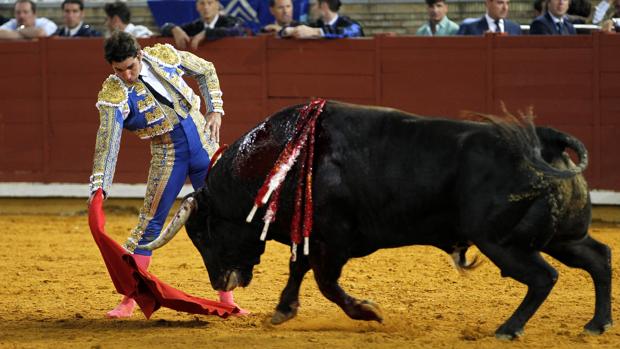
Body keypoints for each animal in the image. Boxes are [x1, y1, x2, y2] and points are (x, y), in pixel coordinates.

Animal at [139, 101, 612, 340]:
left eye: (205, 233)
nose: (222, 282)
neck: (279, 158)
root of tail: (543, 139)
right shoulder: (311, 235)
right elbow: (299, 270)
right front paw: (282, 311)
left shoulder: (333, 240)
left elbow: (325, 283)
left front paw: (367, 311)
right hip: (561, 237)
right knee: (599, 257)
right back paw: (596, 323)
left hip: (502, 242)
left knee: (544, 278)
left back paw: (508, 329)